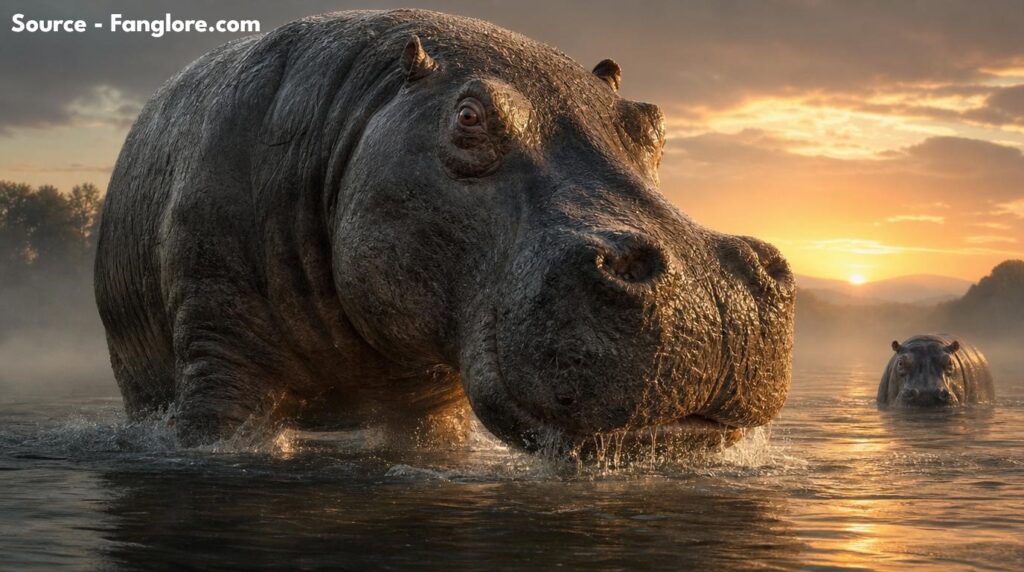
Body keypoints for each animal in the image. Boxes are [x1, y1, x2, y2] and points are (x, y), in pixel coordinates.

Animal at [94, 10, 795, 453]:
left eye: (651, 119)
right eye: (468, 116)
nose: (714, 290)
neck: (369, 106)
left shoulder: (431, 403)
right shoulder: (218, 349)